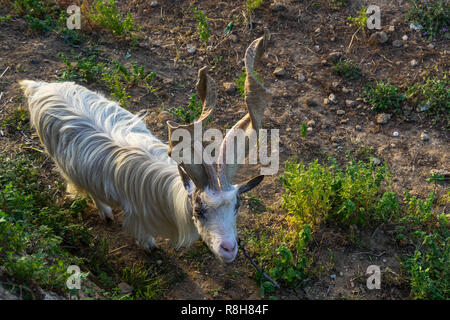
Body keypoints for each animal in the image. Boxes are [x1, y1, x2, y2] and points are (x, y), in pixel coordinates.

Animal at [19, 31, 268, 262]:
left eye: (236, 206)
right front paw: (150, 246)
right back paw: (105, 212)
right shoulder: (137, 216)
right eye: (199, 210)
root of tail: (39, 87)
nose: (229, 249)